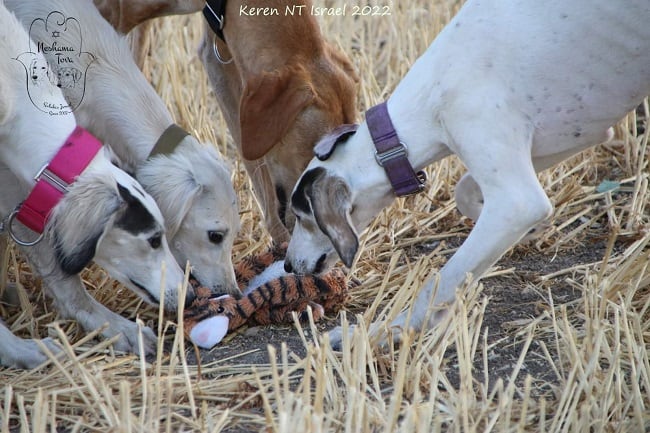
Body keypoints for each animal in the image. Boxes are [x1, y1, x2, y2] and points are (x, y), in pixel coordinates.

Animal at [284, 0, 648, 346]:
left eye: (302, 217)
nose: (287, 265)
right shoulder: (576, 138)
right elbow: (464, 190)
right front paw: (528, 231)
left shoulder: (518, 201)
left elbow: (441, 282)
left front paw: (385, 333)